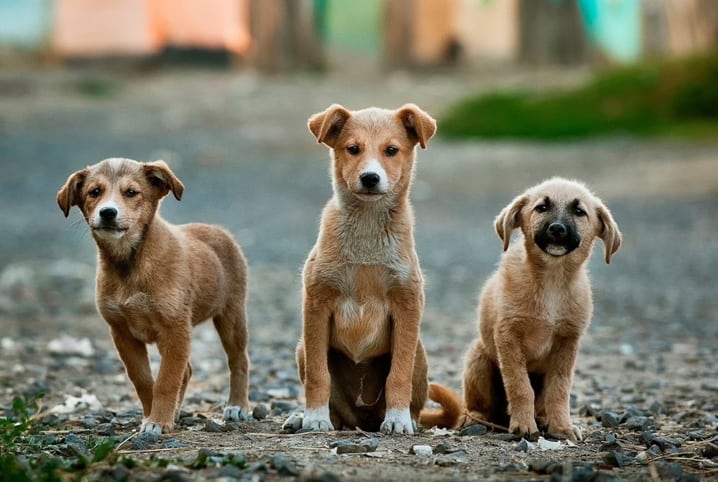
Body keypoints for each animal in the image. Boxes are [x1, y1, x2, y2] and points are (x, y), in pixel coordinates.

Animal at [57, 157, 252, 434]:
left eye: (131, 192)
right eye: (94, 192)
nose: (108, 212)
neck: (130, 263)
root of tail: (218, 230)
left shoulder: (175, 329)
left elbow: (166, 380)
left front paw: (158, 421)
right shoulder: (122, 333)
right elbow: (143, 380)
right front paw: (153, 416)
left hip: (231, 316)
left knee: (239, 361)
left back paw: (237, 406)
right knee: (187, 370)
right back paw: (177, 412)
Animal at [288, 104, 436, 434]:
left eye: (391, 150)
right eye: (352, 149)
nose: (370, 178)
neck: (367, 229)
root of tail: (363, 418)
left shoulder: (408, 304)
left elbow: (399, 374)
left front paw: (397, 419)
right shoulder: (316, 303)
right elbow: (318, 374)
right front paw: (314, 418)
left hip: (420, 352)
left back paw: (407, 419)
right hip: (302, 347)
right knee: (335, 405)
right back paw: (306, 418)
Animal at [424, 178, 620, 440]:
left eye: (579, 211)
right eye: (542, 207)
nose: (557, 229)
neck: (552, 280)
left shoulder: (567, 342)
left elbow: (559, 390)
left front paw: (562, 427)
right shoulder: (508, 336)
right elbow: (520, 386)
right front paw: (524, 425)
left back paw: (543, 419)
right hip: (478, 358)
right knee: (475, 406)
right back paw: (476, 419)